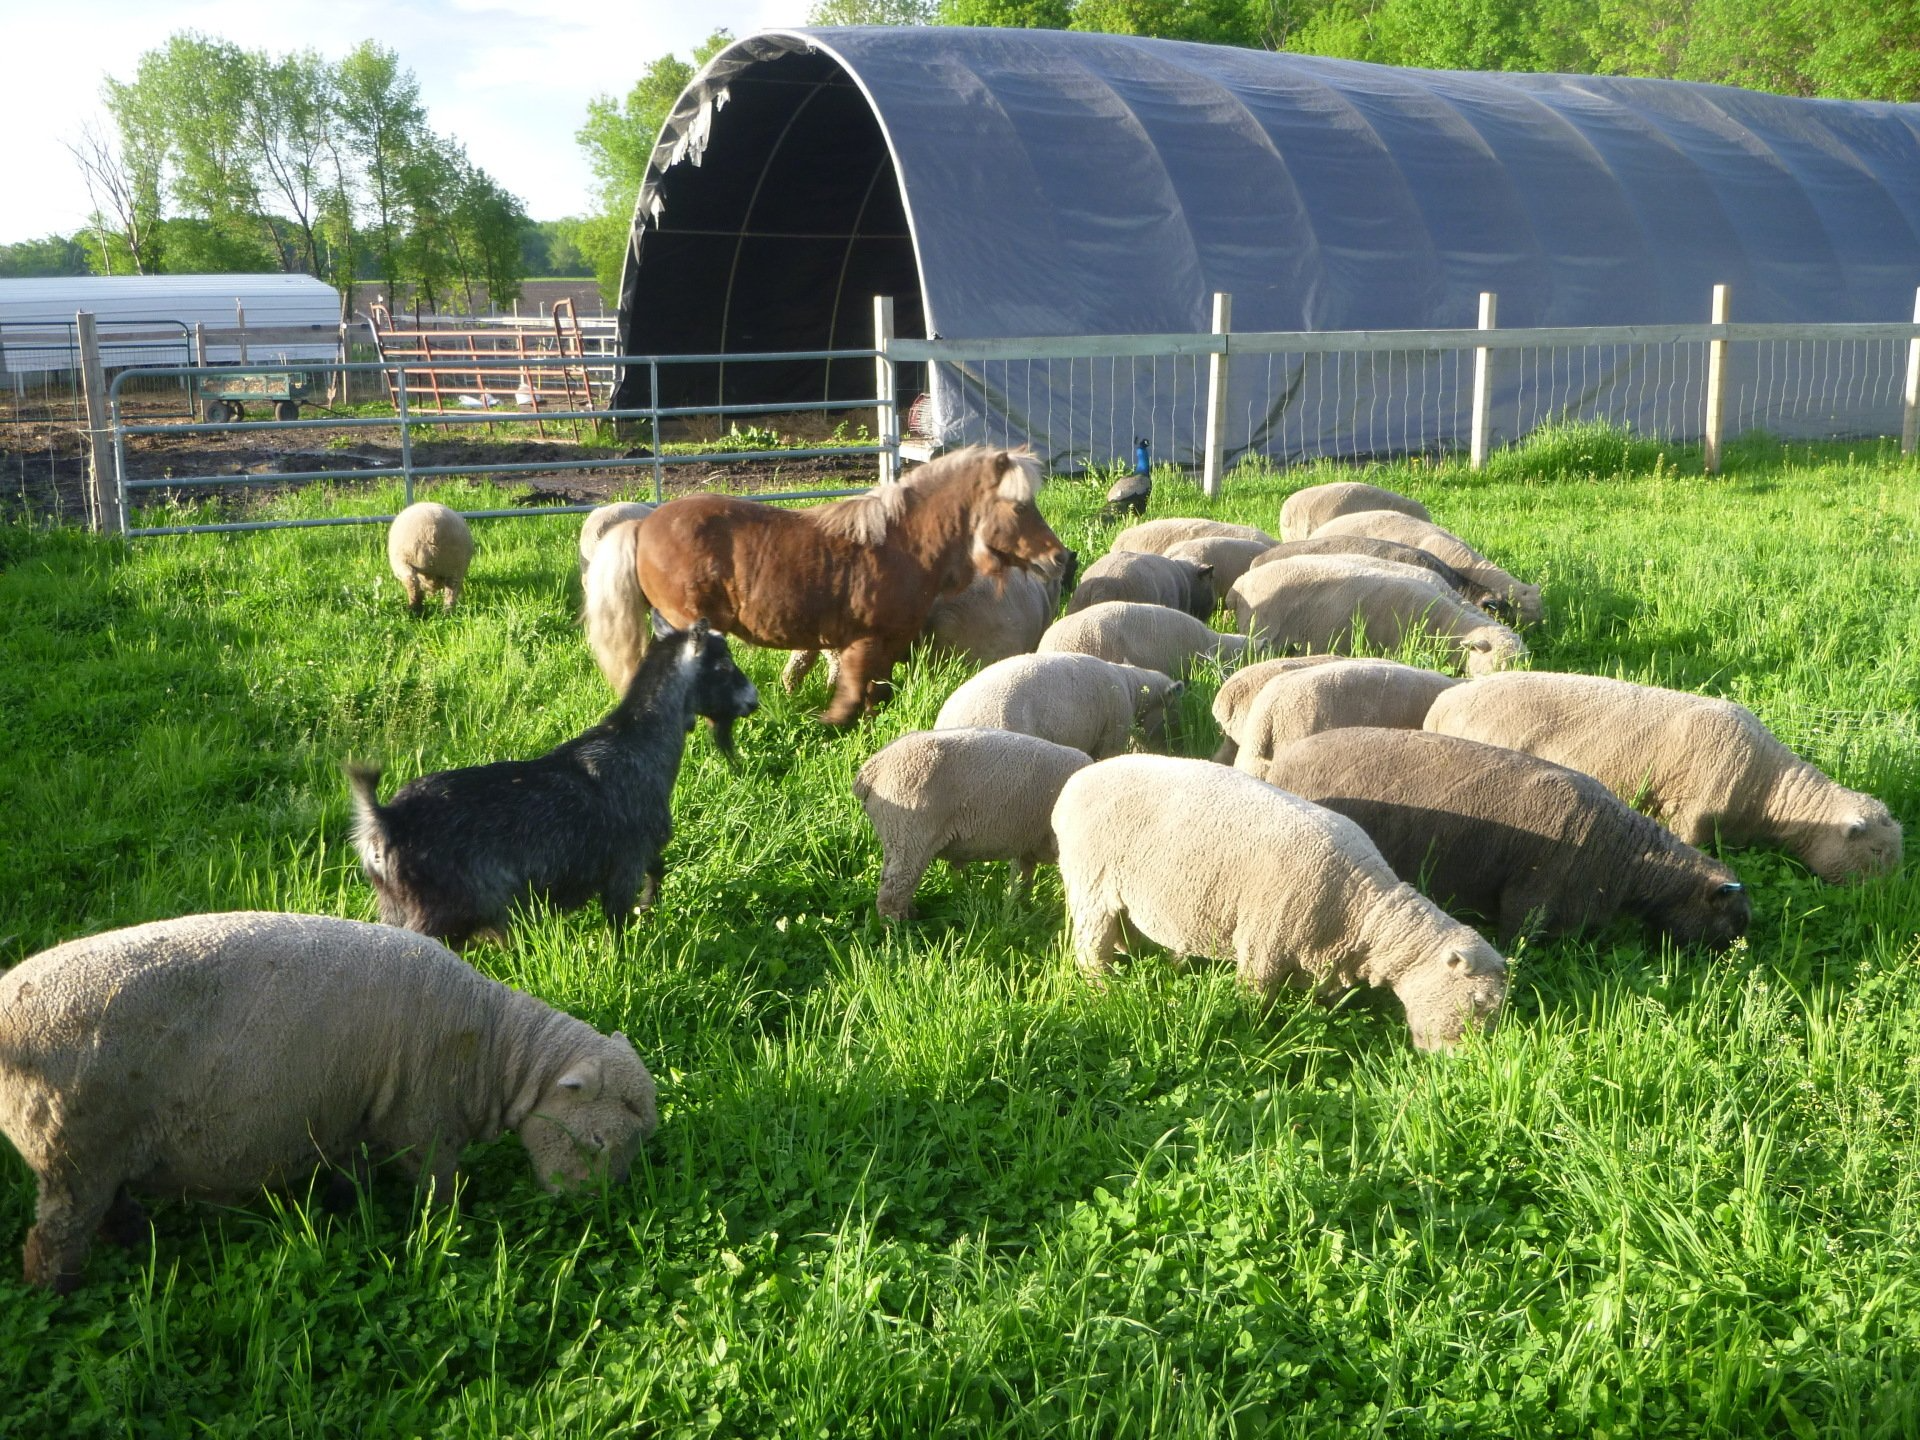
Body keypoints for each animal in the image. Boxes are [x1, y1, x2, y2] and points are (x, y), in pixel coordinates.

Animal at [0, 912, 658, 1292]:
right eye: (597, 1141)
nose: (596, 1215)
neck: (493, 1049)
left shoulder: (355, 1108)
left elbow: (354, 1169)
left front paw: (348, 1205)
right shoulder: (425, 1120)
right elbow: (438, 1185)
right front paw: (447, 1229)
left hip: (92, 1154)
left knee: (101, 1208)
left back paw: (133, 1237)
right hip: (74, 1149)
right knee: (52, 1240)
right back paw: (60, 1295)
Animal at [347, 618, 760, 945]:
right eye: (724, 665)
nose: (753, 701)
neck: (637, 744)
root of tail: (384, 821)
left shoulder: (643, 851)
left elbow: (659, 869)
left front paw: (649, 906)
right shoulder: (624, 865)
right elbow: (618, 923)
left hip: (394, 908)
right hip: (438, 916)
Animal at [853, 728, 1093, 919]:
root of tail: (871, 769)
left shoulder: (1026, 843)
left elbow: (1021, 881)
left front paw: (1018, 911)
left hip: (900, 838)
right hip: (908, 835)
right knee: (892, 893)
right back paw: (900, 930)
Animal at [1052, 756, 1508, 1051]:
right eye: (1478, 1002)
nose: (1465, 1064)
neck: (1363, 911)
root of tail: (1075, 781)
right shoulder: (1263, 942)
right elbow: (1254, 998)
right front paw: (1252, 1032)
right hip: (1090, 881)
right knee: (1089, 949)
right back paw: (1104, 988)